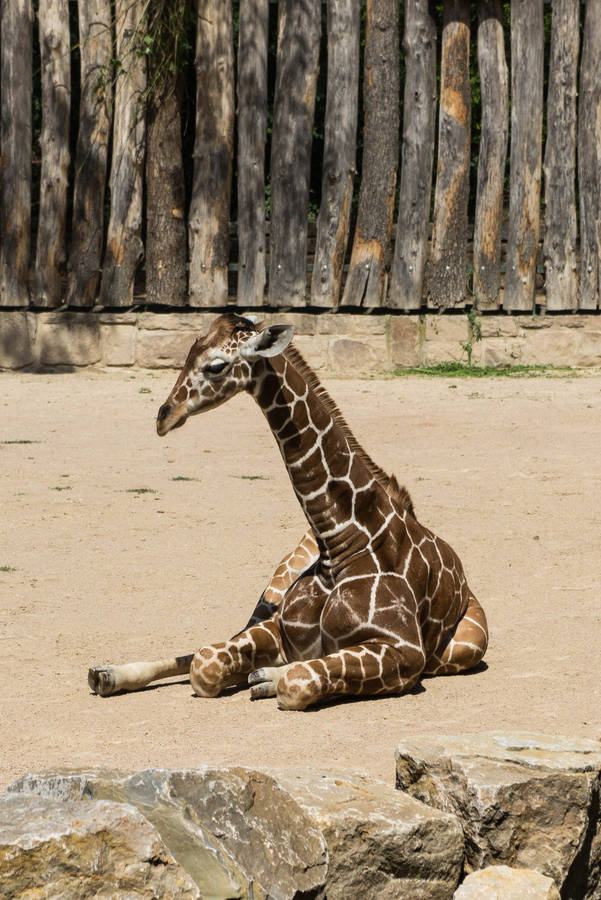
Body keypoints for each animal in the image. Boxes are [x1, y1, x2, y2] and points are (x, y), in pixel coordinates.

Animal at [88, 313, 488, 709]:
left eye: (216, 366)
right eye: (188, 353)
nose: (164, 416)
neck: (340, 540)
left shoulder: (405, 650)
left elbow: (298, 680)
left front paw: (268, 678)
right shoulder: (278, 627)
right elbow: (205, 664)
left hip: (469, 644)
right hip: (272, 591)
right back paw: (106, 674)